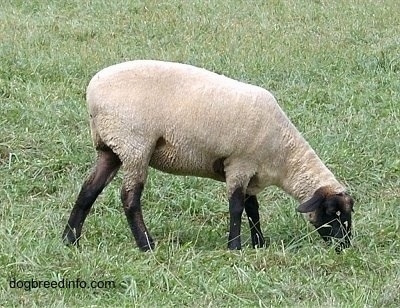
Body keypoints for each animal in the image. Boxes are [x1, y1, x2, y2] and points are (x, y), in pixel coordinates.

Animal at [61, 60, 354, 253]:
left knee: (88, 190)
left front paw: (259, 243)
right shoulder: (239, 163)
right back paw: (146, 245)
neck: (284, 155)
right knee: (129, 197)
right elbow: (236, 207)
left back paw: (70, 239)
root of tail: (92, 91)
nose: (346, 246)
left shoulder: (251, 173)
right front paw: (235, 247)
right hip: (135, 145)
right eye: (332, 213)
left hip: (110, 147)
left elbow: (253, 209)